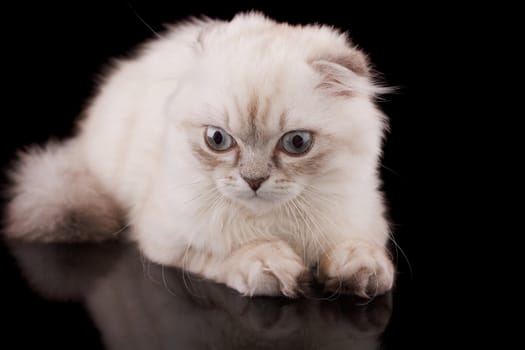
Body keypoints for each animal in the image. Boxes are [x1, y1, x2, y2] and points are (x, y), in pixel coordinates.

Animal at [5, 13, 392, 298]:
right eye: (218, 139)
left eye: (296, 143)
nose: (254, 180)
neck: (272, 221)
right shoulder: (168, 241)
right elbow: (229, 254)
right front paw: (272, 266)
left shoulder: (362, 222)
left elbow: (359, 249)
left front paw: (361, 271)